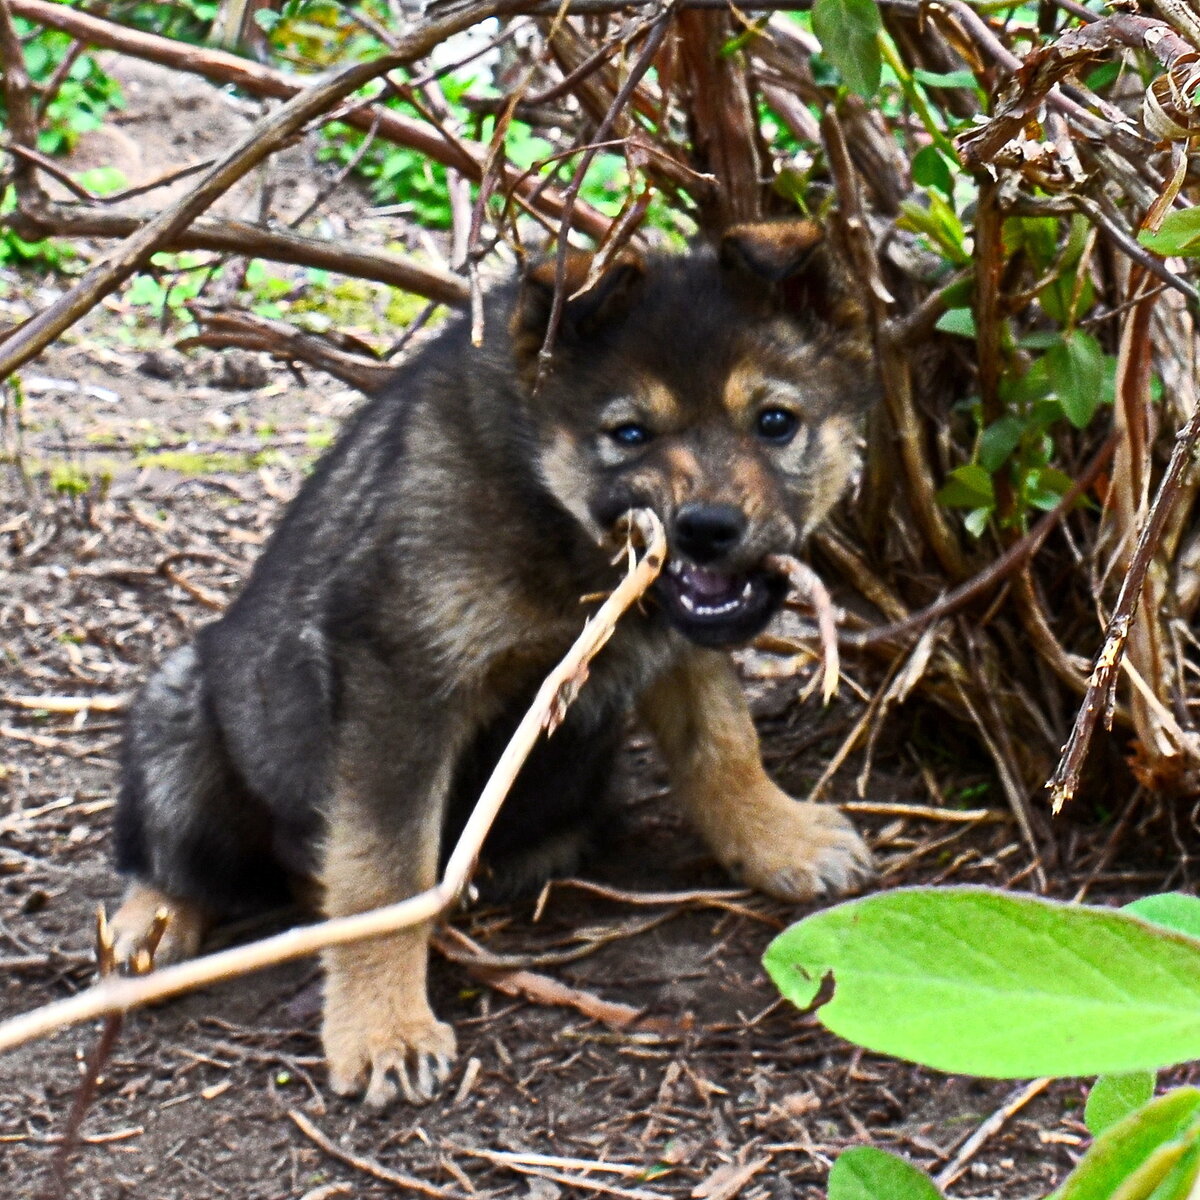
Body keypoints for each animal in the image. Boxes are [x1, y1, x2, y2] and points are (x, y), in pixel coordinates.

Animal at [112, 218, 878, 1104]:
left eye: (776, 421)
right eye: (630, 435)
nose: (708, 529)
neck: (550, 511)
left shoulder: (677, 641)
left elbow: (723, 745)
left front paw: (779, 838)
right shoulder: (402, 683)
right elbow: (385, 870)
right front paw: (383, 1029)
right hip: (178, 714)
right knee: (170, 857)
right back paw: (147, 925)